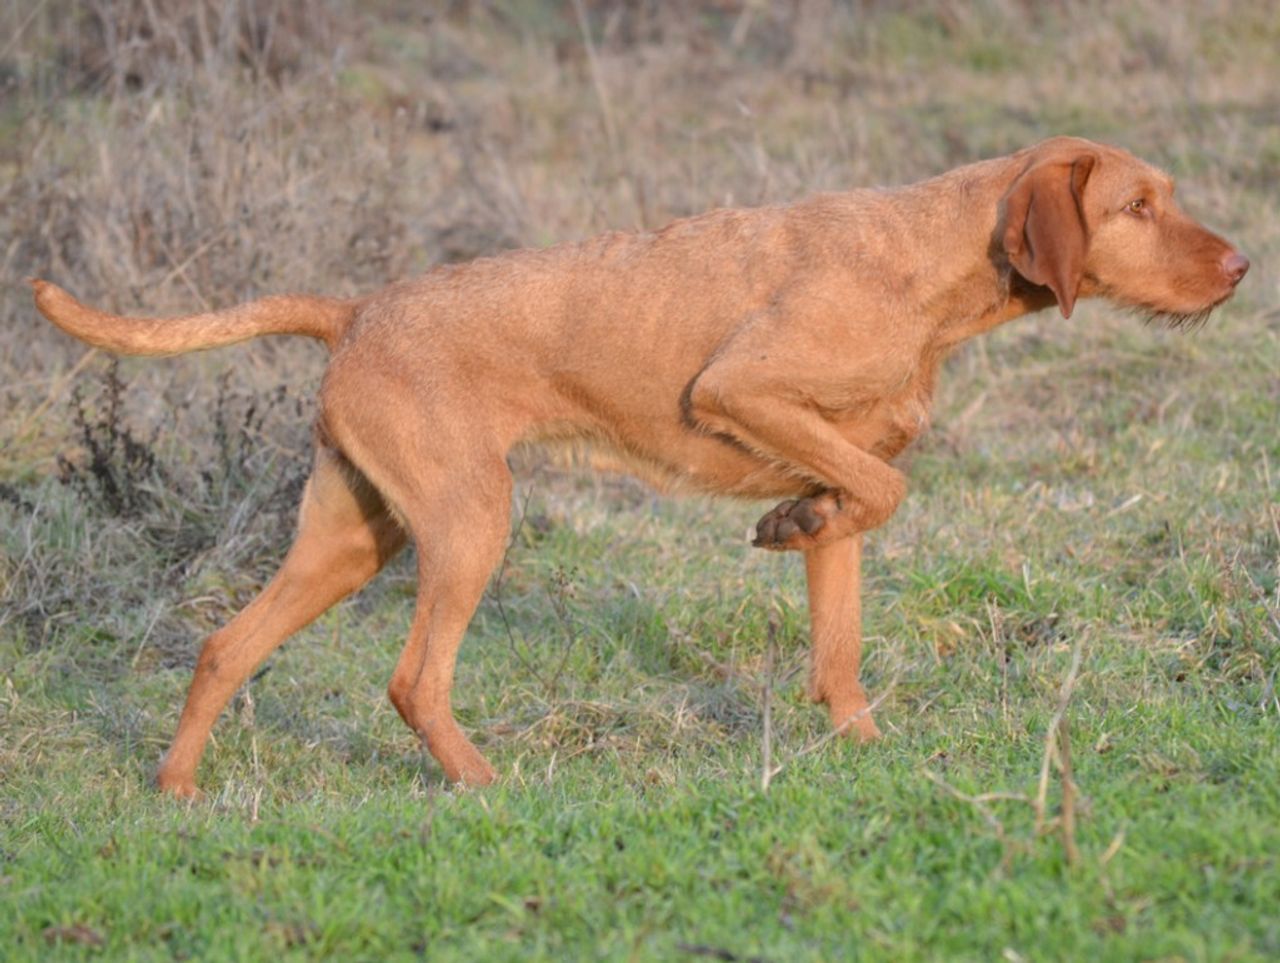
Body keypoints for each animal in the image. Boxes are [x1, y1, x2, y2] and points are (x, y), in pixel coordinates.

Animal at [32, 137, 1249, 799]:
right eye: (1136, 207)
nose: (1242, 265)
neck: (933, 261)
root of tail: (357, 310)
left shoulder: (837, 463)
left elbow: (840, 638)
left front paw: (866, 744)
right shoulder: (742, 389)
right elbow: (882, 492)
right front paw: (788, 523)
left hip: (350, 538)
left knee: (223, 647)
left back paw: (177, 790)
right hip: (471, 521)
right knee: (413, 679)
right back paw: (483, 785)